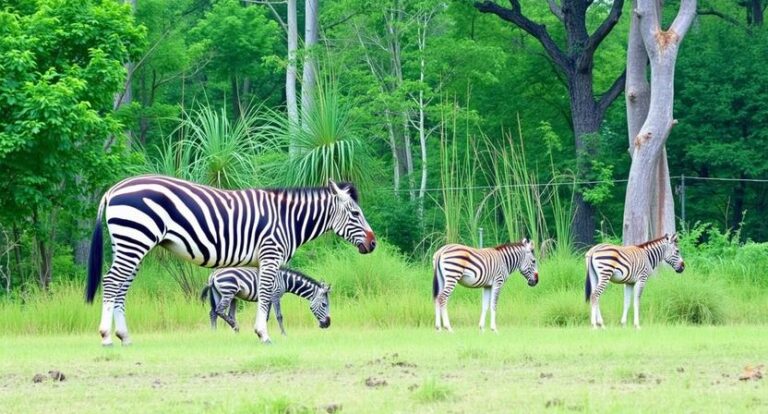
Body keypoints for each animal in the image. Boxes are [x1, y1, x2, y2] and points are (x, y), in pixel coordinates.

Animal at [200, 267, 331, 335]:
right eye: (324, 305)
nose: (327, 324)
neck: (284, 280)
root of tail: (213, 274)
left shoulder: (269, 299)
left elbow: (266, 317)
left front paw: (262, 331)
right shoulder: (275, 296)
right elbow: (279, 316)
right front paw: (284, 334)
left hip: (219, 294)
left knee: (213, 313)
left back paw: (215, 333)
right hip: (228, 293)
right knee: (219, 311)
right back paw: (235, 327)